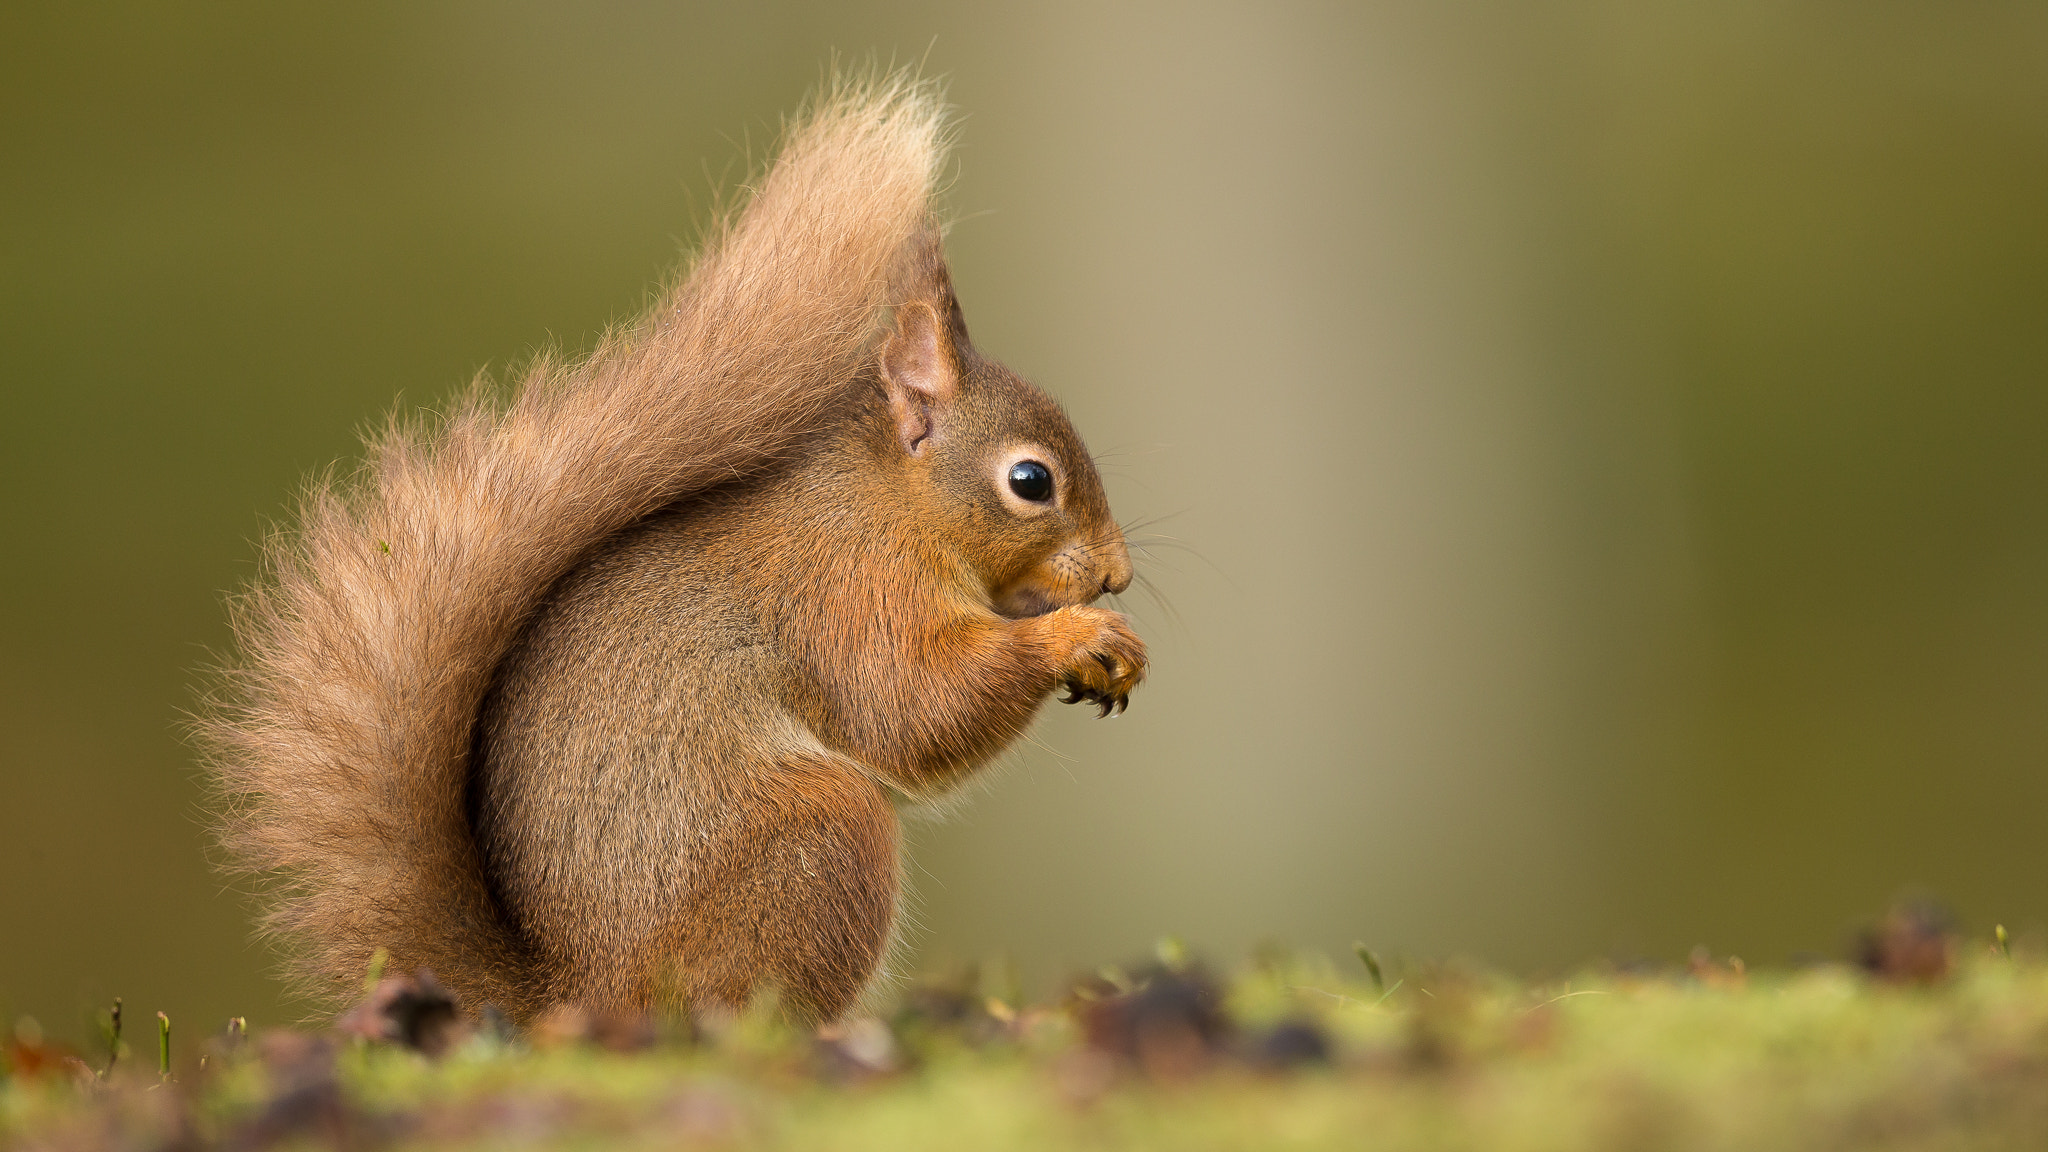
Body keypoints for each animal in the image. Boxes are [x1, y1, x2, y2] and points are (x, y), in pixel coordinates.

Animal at [201, 76, 1146, 1016]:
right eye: (1030, 481)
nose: (1117, 574)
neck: (889, 505)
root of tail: (579, 996)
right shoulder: (849, 591)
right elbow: (917, 707)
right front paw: (1076, 637)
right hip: (819, 833)